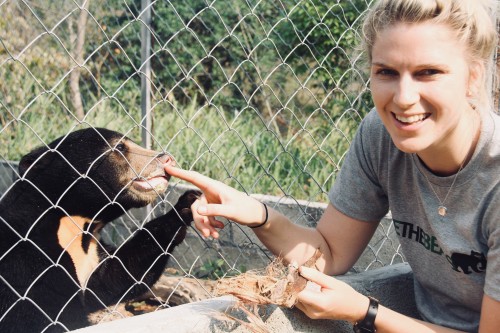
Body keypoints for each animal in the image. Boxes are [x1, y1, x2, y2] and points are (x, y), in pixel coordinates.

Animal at [0, 127, 199, 332]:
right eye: (120, 147)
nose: (167, 158)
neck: (75, 223)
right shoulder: (26, 259)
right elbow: (43, 312)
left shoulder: (92, 254)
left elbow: (112, 278)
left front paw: (186, 206)